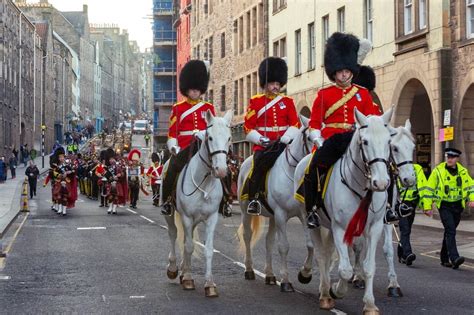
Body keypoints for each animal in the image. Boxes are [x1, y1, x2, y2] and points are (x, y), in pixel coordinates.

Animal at [162, 110, 232, 298]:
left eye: (229, 138)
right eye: (210, 137)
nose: (221, 170)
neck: (204, 182)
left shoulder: (212, 217)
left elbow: (207, 249)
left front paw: (209, 284)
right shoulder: (186, 216)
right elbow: (188, 246)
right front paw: (187, 278)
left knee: (188, 237)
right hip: (170, 213)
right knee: (173, 234)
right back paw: (174, 269)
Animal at [237, 117, 314, 292]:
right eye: (310, 138)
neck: (293, 174)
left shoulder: (303, 214)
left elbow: (310, 245)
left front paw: (305, 274)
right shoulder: (281, 214)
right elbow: (284, 246)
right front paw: (285, 281)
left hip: (272, 216)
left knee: (268, 241)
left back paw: (270, 275)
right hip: (246, 211)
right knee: (247, 236)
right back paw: (249, 269)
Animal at [296, 108, 392, 314]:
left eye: (389, 141)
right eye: (365, 142)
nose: (381, 183)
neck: (361, 187)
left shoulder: (374, 228)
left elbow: (368, 267)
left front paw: (370, 304)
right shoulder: (340, 227)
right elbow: (345, 269)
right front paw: (336, 291)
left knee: (329, 253)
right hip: (312, 220)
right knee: (321, 254)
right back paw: (325, 293)